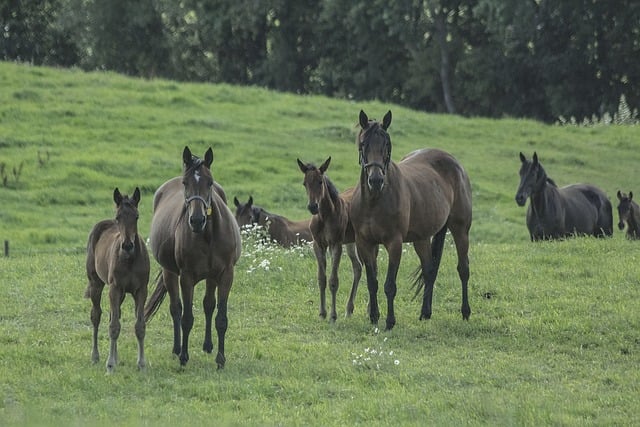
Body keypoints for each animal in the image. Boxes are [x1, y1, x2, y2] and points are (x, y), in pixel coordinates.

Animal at [85, 188, 150, 374]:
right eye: (118, 217)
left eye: (137, 216)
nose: (127, 245)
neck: (129, 259)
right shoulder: (114, 288)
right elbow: (113, 327)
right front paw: (110, 365)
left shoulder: (141, 290)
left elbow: (139, 326)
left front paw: (141, 364)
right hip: (96, 284)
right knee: (97, 316)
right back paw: (96, 356)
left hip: (120, 294)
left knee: (113, 316)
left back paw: (116, 356)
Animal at [144, 147, 241, 368]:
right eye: (185, 183)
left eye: (210, 182)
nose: (197, 220)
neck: (208, 235)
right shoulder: (186, 277)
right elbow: (186, 317)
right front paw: (184, 357)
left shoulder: (226, 275)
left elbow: (220, 318)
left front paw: (220, 359)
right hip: (170, 273)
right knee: (176, 309)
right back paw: (177, 348)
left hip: (211, 277)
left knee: (208, 305)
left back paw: (208, 346)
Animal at [296, 157, 362, 320]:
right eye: (304, 183)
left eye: (320, 181)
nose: (313, 207)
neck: (325, 216)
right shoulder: (318, 245)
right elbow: (322, 279)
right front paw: (322, 313)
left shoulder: (335, 244)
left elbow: (333, 281)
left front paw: (332, 315)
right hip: (351, 242)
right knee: (358, 267)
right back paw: (349, 309)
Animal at [348, 110, 472, 332]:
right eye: (363, 144)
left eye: (386, 144)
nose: (376, 180)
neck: (374, 201)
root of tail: (454, 163)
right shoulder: (364, 243)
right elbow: (372, 282)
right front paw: (373, 317)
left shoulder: (394, 243)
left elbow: (389, 285)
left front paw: (390, 321)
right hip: (421, 239)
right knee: (429, 270)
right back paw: (425, 313)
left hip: (461, 230)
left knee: (463, 269)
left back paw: (465, 312)